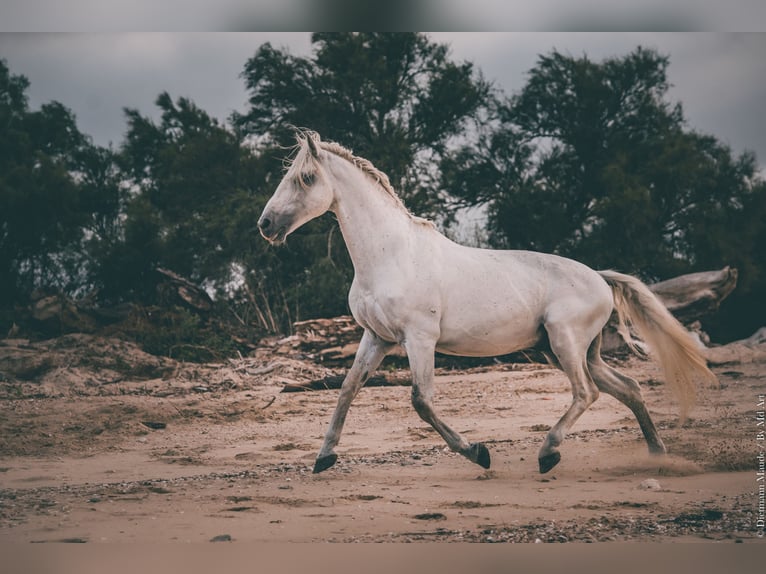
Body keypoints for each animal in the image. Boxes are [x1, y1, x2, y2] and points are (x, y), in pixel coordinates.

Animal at [260, 130, 720, 476]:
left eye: (305, 178)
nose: (266, 225)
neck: (392, 256)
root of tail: (601, 278)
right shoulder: (376, 337)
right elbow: (347, 390)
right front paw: (324, 458)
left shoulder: (419, 339)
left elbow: (421, 400)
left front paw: (478, 453)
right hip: (567, 350)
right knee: (627, 388)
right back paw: (657, 455)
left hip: (565, 342)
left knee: (586, 393)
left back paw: (548, 454)